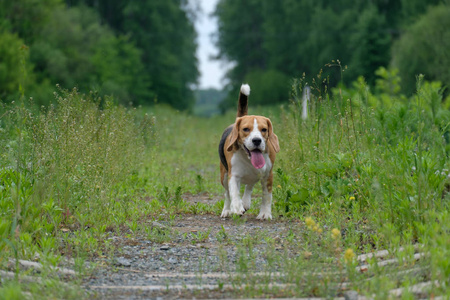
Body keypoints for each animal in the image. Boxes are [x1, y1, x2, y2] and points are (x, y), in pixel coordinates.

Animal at [217, 84, 278, 220]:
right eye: (245, 129)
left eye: (264, 129)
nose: (257, 140)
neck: (248, 158)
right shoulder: (233, 175)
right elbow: (234, 193)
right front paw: (237, 207)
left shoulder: (268, 175)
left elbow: (267, 196)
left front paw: (265, 213)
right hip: (224, 176)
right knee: (227, 194)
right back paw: (227, 210)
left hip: (255, 175)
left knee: (249, 186)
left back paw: (245, 202)